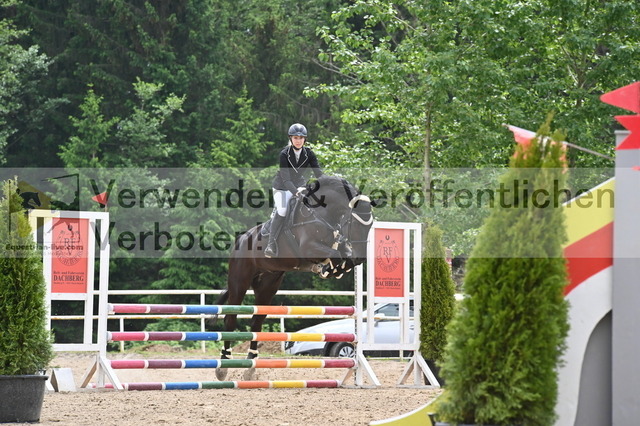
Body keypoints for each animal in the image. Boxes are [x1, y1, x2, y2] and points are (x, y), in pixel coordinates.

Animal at [214, 175, 374, 380]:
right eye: (355, 224)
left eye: (370, 226)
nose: (361, 257)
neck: (324, 213)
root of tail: (241, 240)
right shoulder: (309, 247)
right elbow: (336, 255)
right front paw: (328, 269)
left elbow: (342, 255)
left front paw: (334, 270)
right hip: (239, 283)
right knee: (230, 318)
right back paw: (223, 366)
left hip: (267, 286)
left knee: (256, 322)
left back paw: (250, 368)